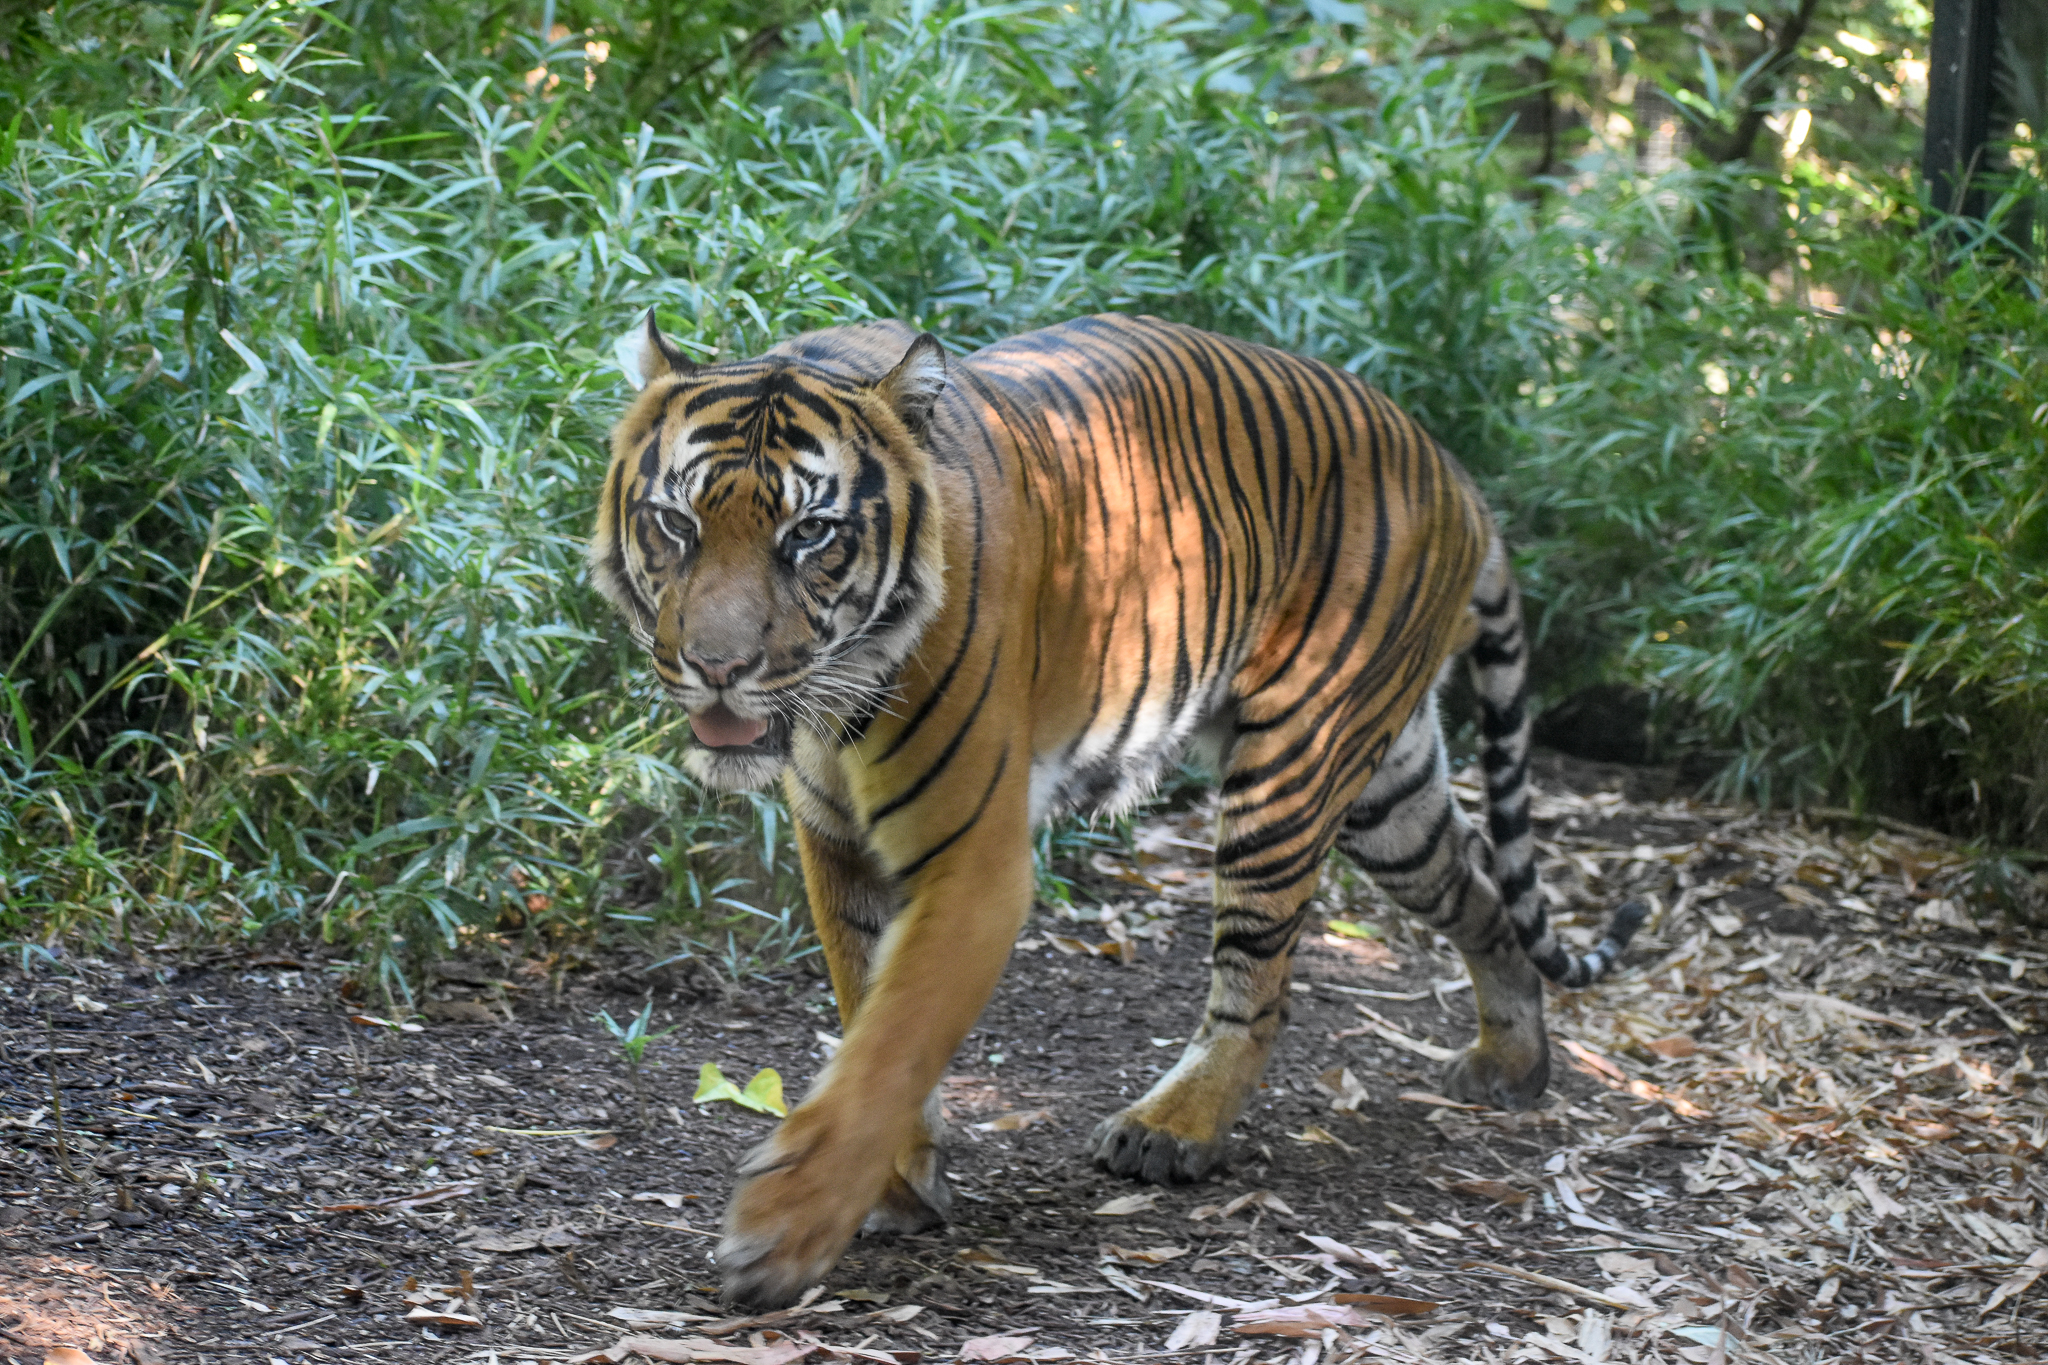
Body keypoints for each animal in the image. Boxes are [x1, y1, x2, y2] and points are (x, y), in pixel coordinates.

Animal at [590, 311, 1646, 1308]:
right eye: (675, 523)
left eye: (809, 533)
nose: (718, 667)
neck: (839, 702)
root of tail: (1452, 466)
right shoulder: (835, 845)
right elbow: (863, 1008)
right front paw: (895, 1182)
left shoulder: (974, 866)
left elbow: (893, 1041)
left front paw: (786, 1225)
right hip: (1389, 795)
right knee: (1480, 888)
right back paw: (1515, 1060)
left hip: (1295, 762)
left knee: (1259, 985)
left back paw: (1172, 1128)